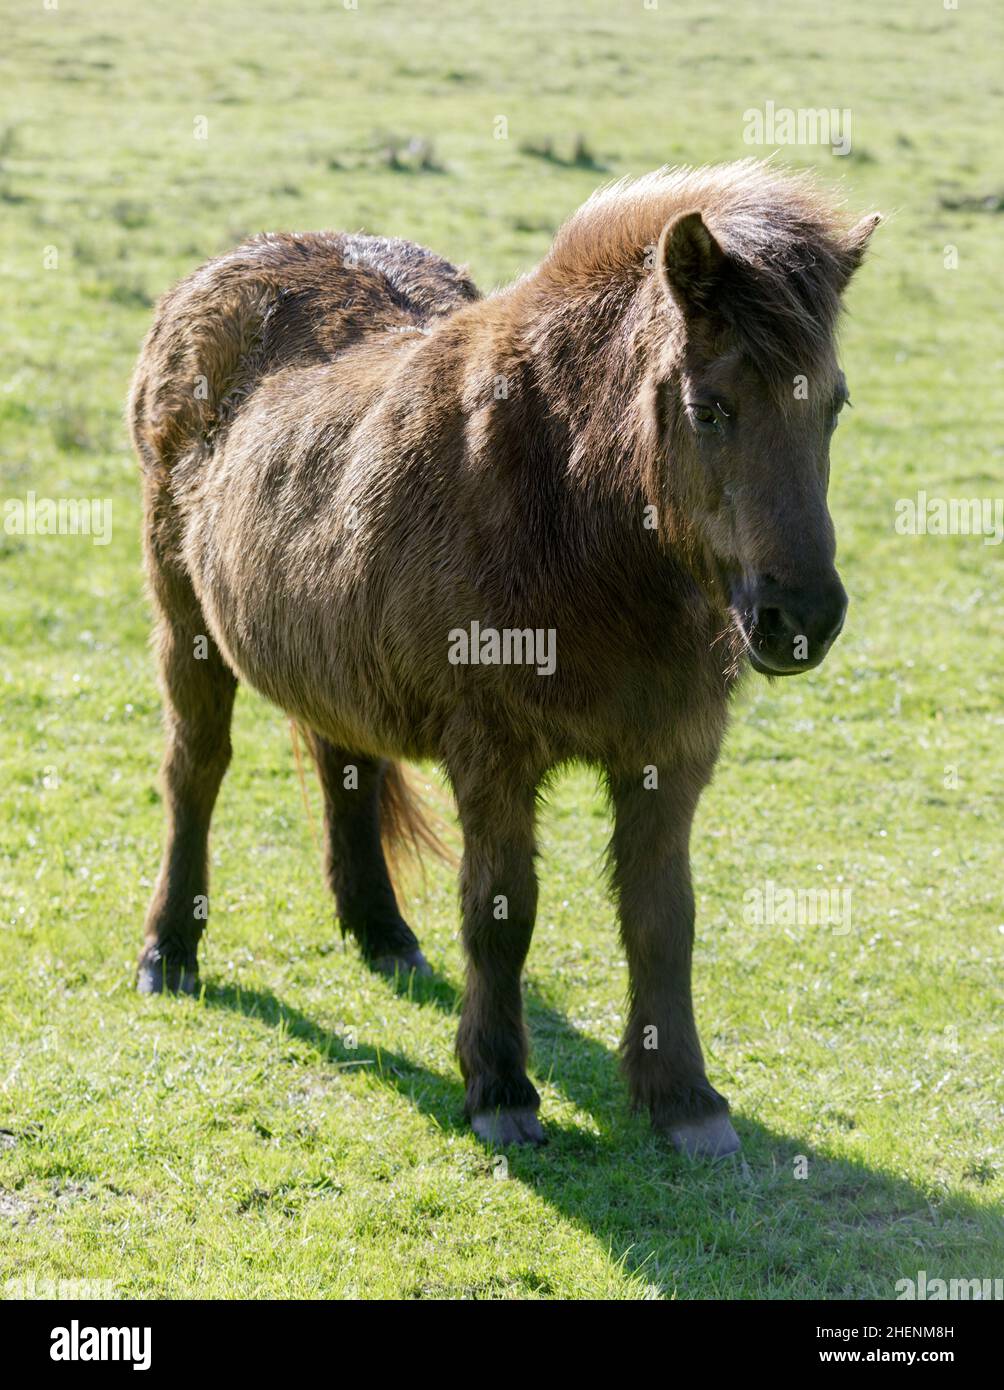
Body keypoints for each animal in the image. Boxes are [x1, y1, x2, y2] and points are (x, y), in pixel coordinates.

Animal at [129, 160, 879, 1158]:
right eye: (709, 409)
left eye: (832, 407)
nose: (803, 618)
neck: (570, 504)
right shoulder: (492, 754)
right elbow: (502, 912)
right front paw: (499, 1088)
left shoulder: (670, 755)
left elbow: (662, 919)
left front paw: (684, 1100)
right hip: (187, 623)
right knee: (196, 773)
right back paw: (169, 950)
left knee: (342, 761)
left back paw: (381, 931)